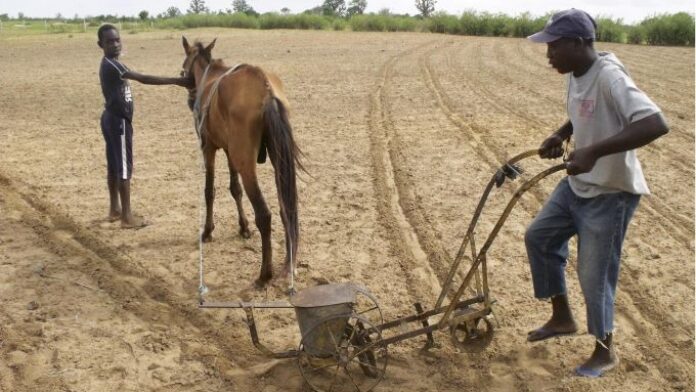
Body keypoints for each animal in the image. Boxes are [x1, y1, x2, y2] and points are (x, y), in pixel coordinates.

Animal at [179, 36, 302, 286]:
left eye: (184, 66)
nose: (190, 98)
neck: (209, 75)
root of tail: (265, 87)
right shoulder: (229, 151)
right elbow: (235, 189)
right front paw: (243, 227)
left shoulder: (209, 148)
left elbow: (210, 190)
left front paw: (207, 231)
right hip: (277, 160)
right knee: (286, 209)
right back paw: (288, 264)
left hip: (247, 164)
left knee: (264, 214)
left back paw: (264, 274)